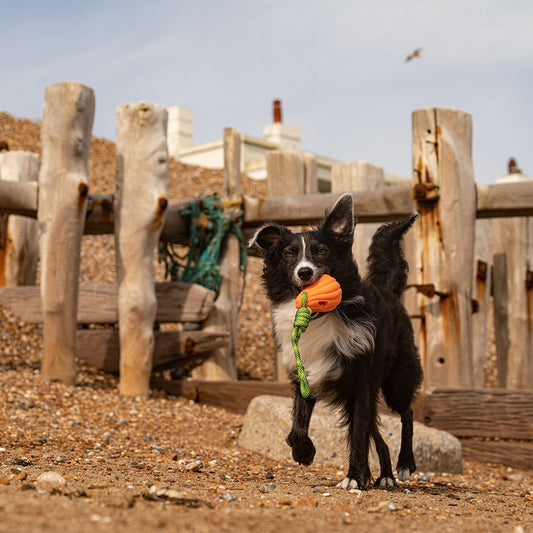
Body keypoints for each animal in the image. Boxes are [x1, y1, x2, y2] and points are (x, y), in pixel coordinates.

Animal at [250, 192, 424, 490]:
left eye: (321, 250)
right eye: (289, 253)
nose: (305, 272)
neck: (320, 316)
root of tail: (388, 291)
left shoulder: (361, 382)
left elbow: (358, 435)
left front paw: (353, 477)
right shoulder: (305, 375)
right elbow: (298, 425)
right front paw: (304, 452)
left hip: (398, 378)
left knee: (406, 413)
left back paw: (403, 465)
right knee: (376, 432)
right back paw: (385, 474)